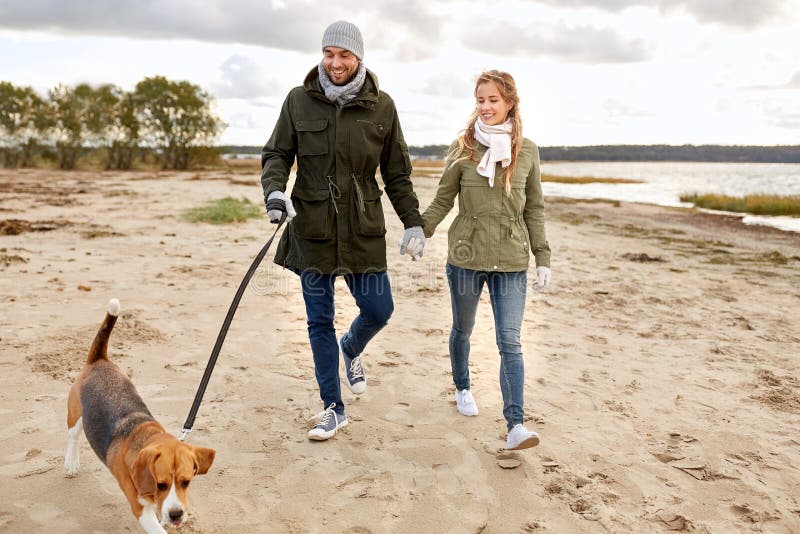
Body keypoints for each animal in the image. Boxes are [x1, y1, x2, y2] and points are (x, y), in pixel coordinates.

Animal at [65, 302, 216, 534]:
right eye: (161, 484)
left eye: (186, 482)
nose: (176, 515)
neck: (144, 437)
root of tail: (99, 360)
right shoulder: (140, 508)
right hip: (75, 414)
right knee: (73, 436)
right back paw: (71, 463)